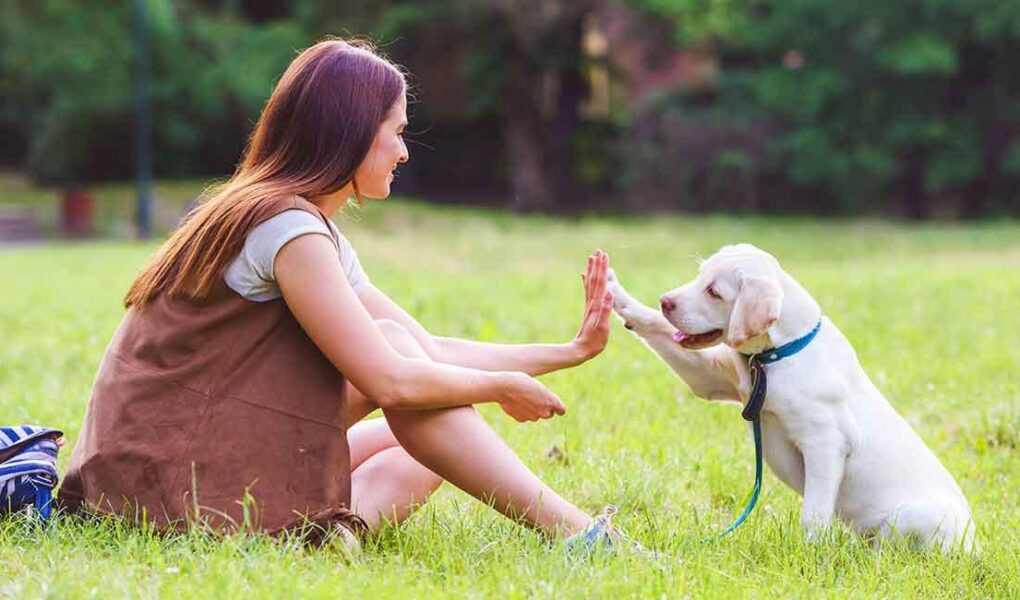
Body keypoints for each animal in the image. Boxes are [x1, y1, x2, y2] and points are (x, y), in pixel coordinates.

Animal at [607, 244, 975, 555]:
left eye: (714, 291)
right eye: (699, 276)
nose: (665, 300)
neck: (778, 353)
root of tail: (973, 549)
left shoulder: (825, 443)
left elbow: (814, 512)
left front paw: (810, 553)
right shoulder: (709, 377)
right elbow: (653, 325)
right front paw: (612, 289)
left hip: (913, 518)